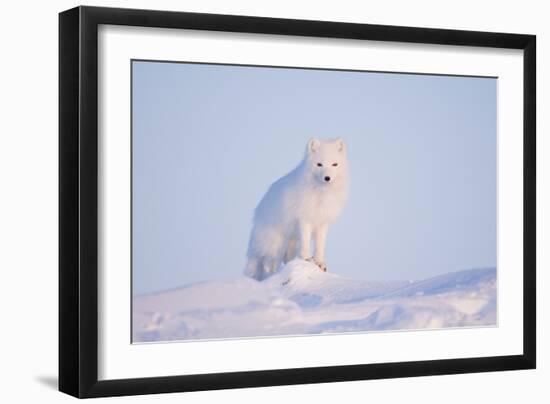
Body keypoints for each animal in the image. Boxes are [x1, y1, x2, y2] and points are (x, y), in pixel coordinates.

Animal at [246, 139, 350, 280]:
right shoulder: (304, 219)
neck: (320, 194)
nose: (327, 178)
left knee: (285, 260)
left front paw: (320, 263)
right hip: (276, 246)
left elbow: (320, 246)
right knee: (269, 265)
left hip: (289, 245)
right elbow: (306, 242)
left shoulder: (322, 222)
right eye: (319, 164)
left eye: (335, 164)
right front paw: (306, 259)